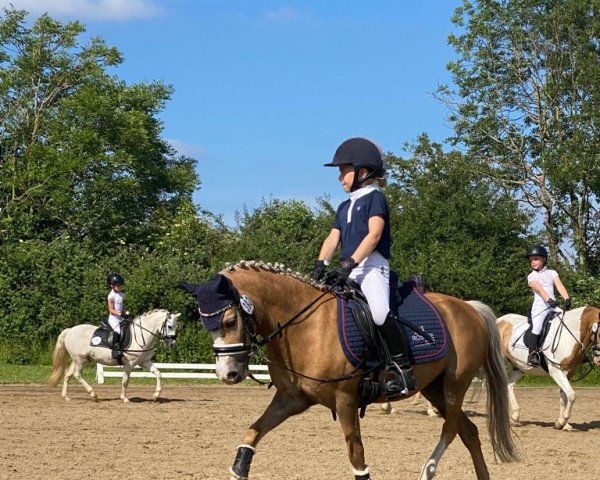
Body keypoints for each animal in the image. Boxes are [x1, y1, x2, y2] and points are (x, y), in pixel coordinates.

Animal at [48, 308, 179, 402]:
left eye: (176, 326)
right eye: (169, 326)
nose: (173, 344)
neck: (141, 336)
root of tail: (70, 330)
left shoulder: (145, 362)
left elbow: (158, 373)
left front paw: (156, 396)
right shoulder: (128, 364)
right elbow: (125, 381)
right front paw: (124, 398)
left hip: (76, 360)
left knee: (68, 375)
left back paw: (66, 397)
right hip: (80, 360)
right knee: (77, 375)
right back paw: (93, 394)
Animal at [180, 262, 516, 480]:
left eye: (229, 321)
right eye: (206, 325)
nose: (228, 374)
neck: (305, 324)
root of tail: (469, 308)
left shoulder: (346, 401)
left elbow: (357, 459)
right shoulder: (292, 399)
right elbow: (253, 431)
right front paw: (240, 467)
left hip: (454, 386)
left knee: (451, 429)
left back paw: (427, 470)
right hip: (434, 388)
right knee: (468, 432)